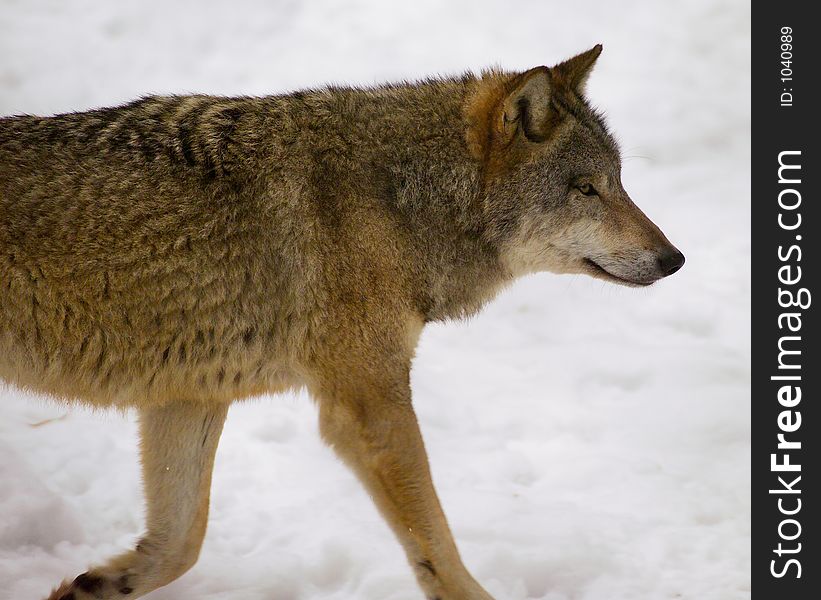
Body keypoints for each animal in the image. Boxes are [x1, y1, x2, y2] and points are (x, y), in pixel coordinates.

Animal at [0, 47, 680, 600]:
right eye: (587, 189)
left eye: (619, 182)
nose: (674, 259)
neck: (405, 201)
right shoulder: (370, 407)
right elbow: (438, 546)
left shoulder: (187, 394)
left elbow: (178, 543)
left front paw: (94, 586)